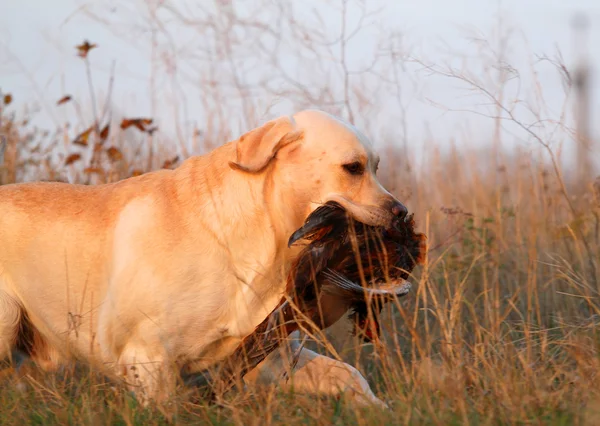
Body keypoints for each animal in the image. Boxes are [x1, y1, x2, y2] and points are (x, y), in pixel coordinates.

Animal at [0, 110, 408, 410]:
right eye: (353, 167)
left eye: (376, 166)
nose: (401, 212)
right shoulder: (147, 359)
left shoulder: (271, 353)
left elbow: (347, 373)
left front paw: (379, 409)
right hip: (6, 322)